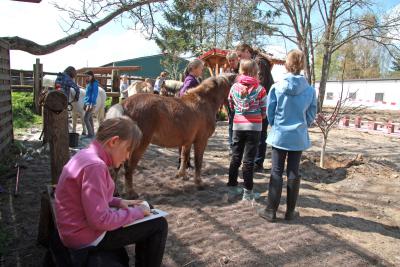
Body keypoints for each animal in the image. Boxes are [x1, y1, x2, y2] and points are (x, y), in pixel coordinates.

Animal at [106, 74, 236, 198]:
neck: (204, 102)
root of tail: (124, 105)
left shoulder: (188, 141)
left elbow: (184, 157)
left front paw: (182, 175)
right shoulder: (201, 141)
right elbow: (198, 161)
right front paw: (198, 183)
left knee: (115, 168)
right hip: (139, 146)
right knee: (128, 167)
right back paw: (131, 193)